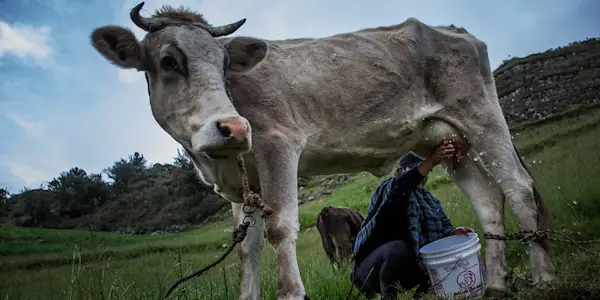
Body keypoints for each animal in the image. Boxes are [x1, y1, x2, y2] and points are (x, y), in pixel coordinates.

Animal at [90, 2, 556, 300]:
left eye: (223, 66)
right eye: (169, 60)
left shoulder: (278, 143)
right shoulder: (238, 183)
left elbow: (281, 229)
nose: (233, 128)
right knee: (488, 199)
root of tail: (457, 31)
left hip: (481, 117)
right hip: (446, 138)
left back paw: (545, 276)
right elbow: (246, 247)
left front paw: (290, 293)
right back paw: (494, 285)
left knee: (518, 187)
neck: (208, 160)